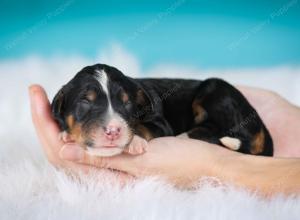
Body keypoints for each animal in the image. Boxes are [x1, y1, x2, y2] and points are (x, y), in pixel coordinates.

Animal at [52, 63, 274, 156]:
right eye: (85, 102)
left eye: (127, 103)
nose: (113, 131)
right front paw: (67, 133)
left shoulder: (161, 122)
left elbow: (144, 126)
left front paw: (135, 141)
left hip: (215, 90)